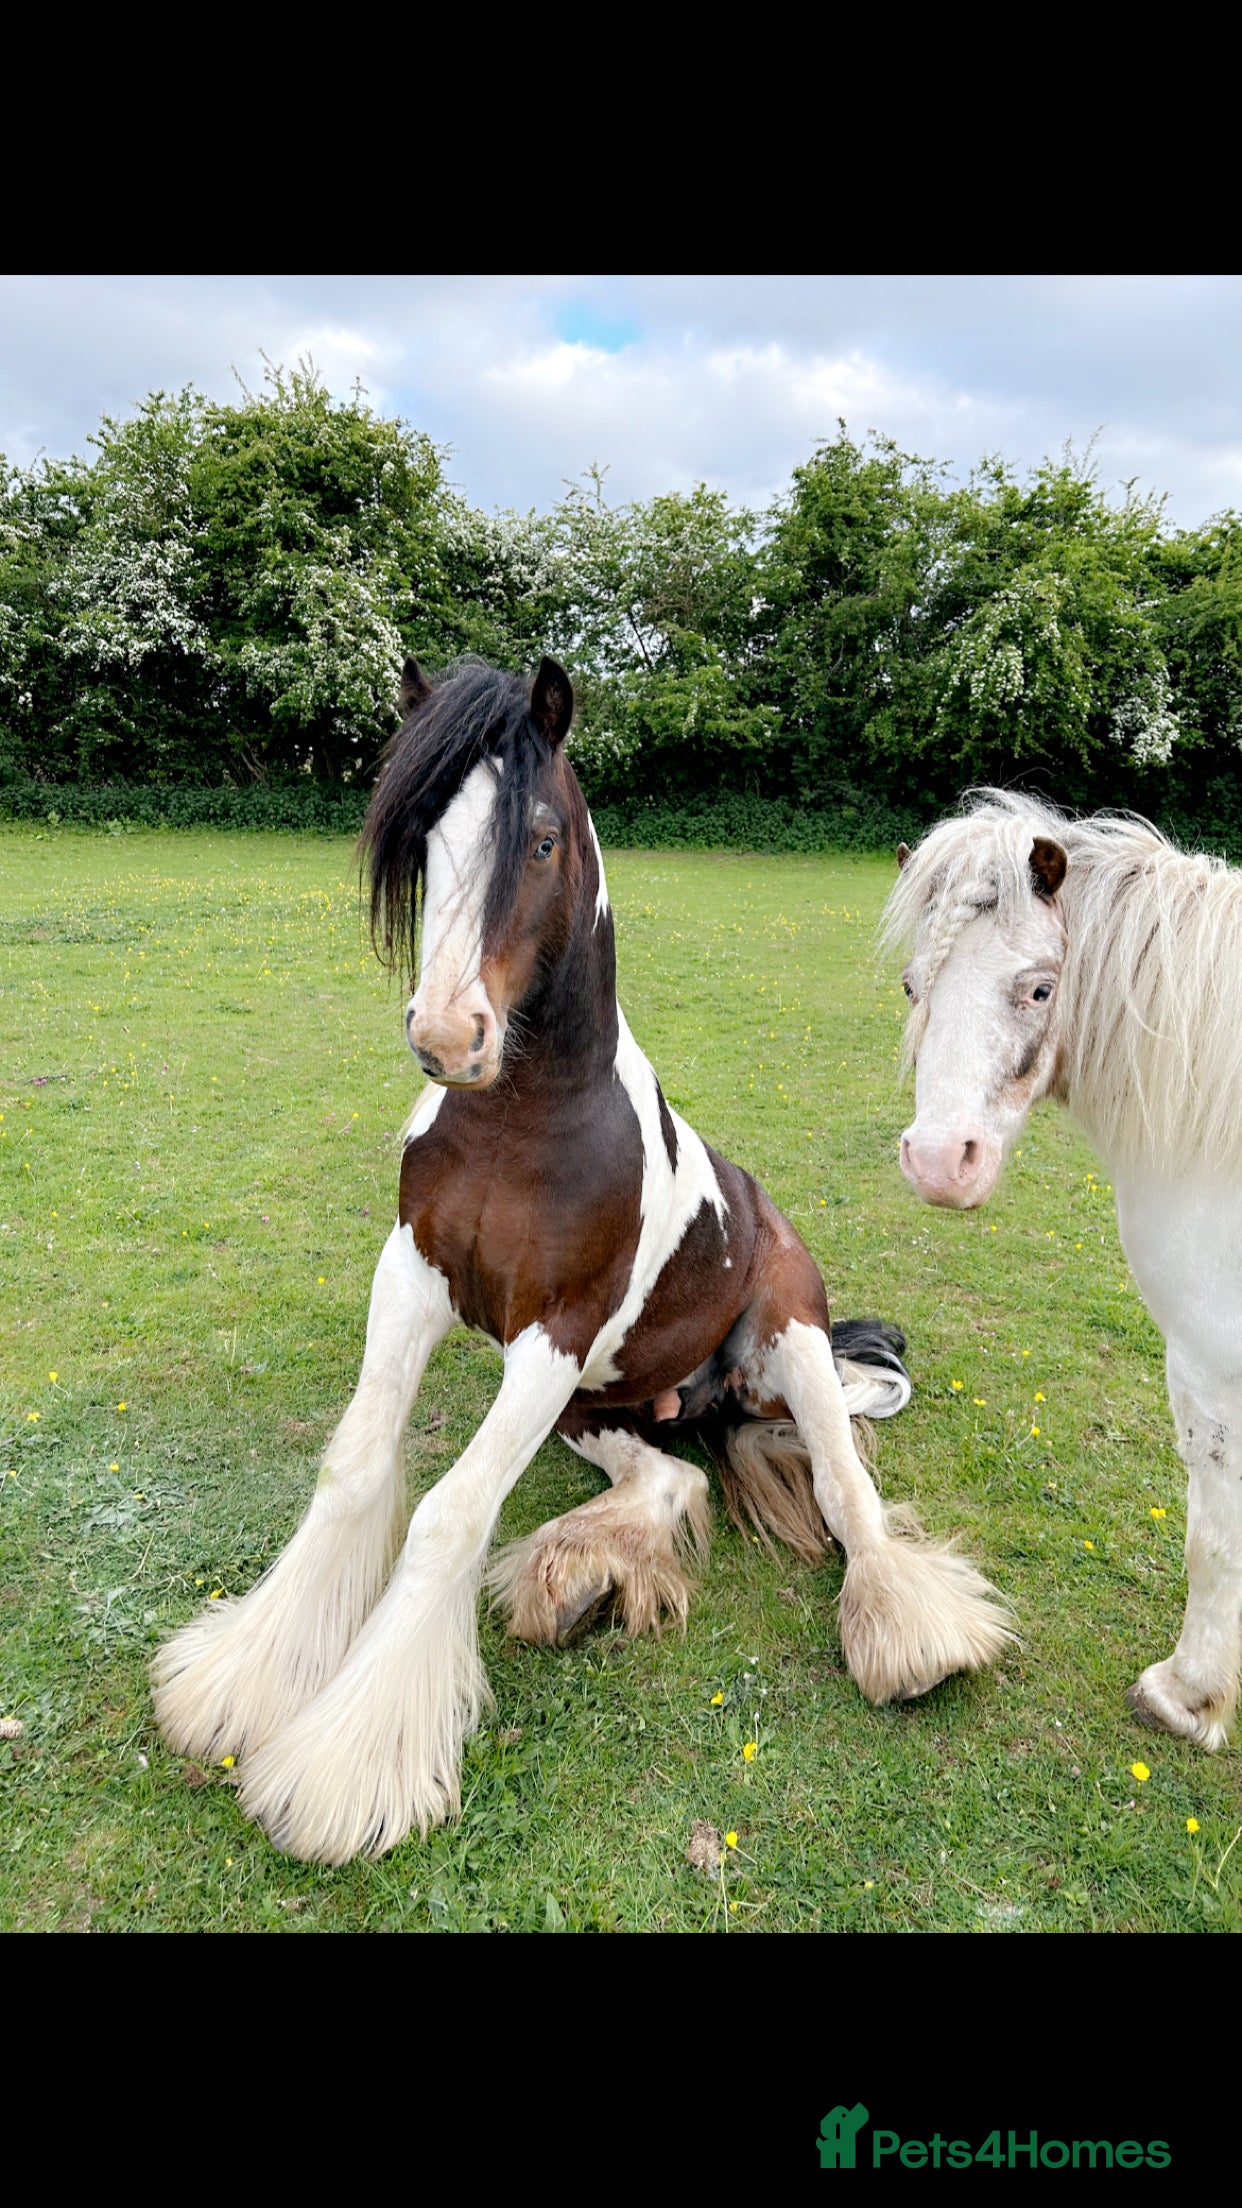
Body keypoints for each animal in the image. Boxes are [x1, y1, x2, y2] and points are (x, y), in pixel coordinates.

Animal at [152, 656, 1012, 1864]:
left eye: (543, 840)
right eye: (425, 838)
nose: (447, 1038)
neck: (523, 1123)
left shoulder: (549, 1337)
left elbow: (448, 1514)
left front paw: (344, 1767)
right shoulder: (411, 1281)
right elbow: (356, 1467)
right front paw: (245, 1679)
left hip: (786, 1341)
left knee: (849, 1497)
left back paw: (908, 1639)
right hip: (595, 1407)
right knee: (673, 1476)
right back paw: (576, 1579)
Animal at [884, 787, 1242, 1753]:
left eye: (1041, 988)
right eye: (912, 987)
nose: (940, 1164)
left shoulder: (1210, 1372)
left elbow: (1214, 1538)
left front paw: (1189, 1694)